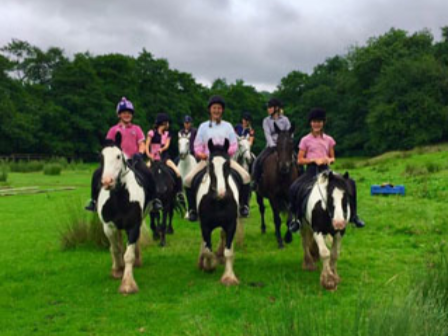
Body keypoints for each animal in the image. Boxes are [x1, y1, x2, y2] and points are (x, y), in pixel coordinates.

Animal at [96, 131, 156, 294]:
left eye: (118, 156)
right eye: (101, 157)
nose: (107, 182)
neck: (119, 197)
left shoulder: (133, 225)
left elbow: (128, 254)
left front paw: (128, 284)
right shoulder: (108, 226)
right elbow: (116, 249)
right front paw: (117, 270)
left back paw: (137, 260)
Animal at [196, 138, 242, 284]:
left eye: (227, 163)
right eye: (210, 164)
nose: (221, 193)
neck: (219, 202)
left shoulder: (231, 224)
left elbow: (228, 251)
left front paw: (229, 277)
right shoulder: (205, 225)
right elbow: (208, 251)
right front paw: (209, 265)